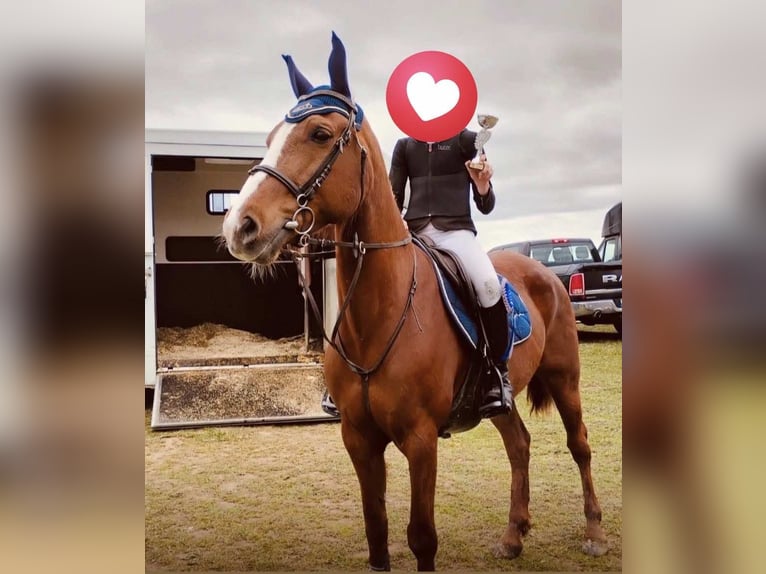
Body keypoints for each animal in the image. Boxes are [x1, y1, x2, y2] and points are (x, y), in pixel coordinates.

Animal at [222, 32, 607, 571]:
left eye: (319, 133)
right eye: (270, 137)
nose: (240, 226)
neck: (377, 319)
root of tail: (544, 274)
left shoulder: (421, 441)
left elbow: (422, 536)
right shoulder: (359, 439)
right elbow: (377, 532)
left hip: (564, 379)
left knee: (579, 445)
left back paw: (594, 532)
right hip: (504, 397)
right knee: (520, 446)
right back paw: (514, 536)